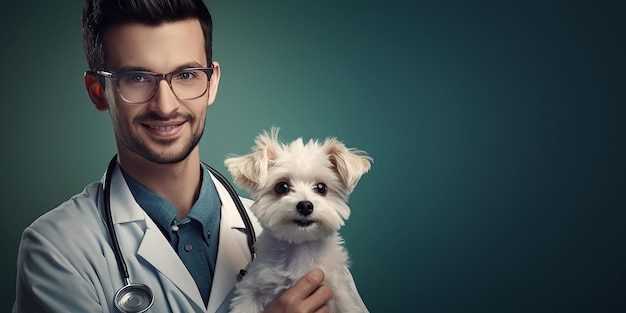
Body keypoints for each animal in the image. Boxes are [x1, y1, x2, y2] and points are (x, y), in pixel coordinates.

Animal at [224, 127, 370, 312]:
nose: (305, 206)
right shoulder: (250, 290)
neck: (300, 247)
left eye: (321, 188)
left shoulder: (340, 291)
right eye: (282, 187)